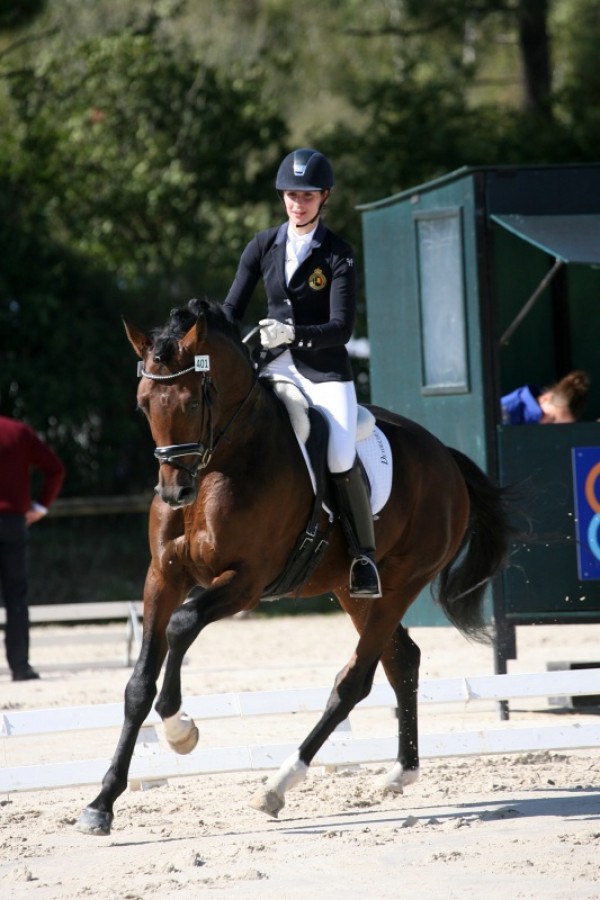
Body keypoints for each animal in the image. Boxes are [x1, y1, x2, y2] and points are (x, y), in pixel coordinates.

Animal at [77, 298, 512, 836]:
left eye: (194, 403)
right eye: (144, 404)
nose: (175, 492)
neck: (224, 461)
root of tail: (446, 459)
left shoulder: (246, 582)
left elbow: (181, 625)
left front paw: (180, 730)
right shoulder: (163, 575)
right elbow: (138, 685)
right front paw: (101, 802)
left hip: (402, 583)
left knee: (354, 681)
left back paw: (276, 786)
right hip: (355, 591)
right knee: (402, 660)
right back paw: (399, 774)